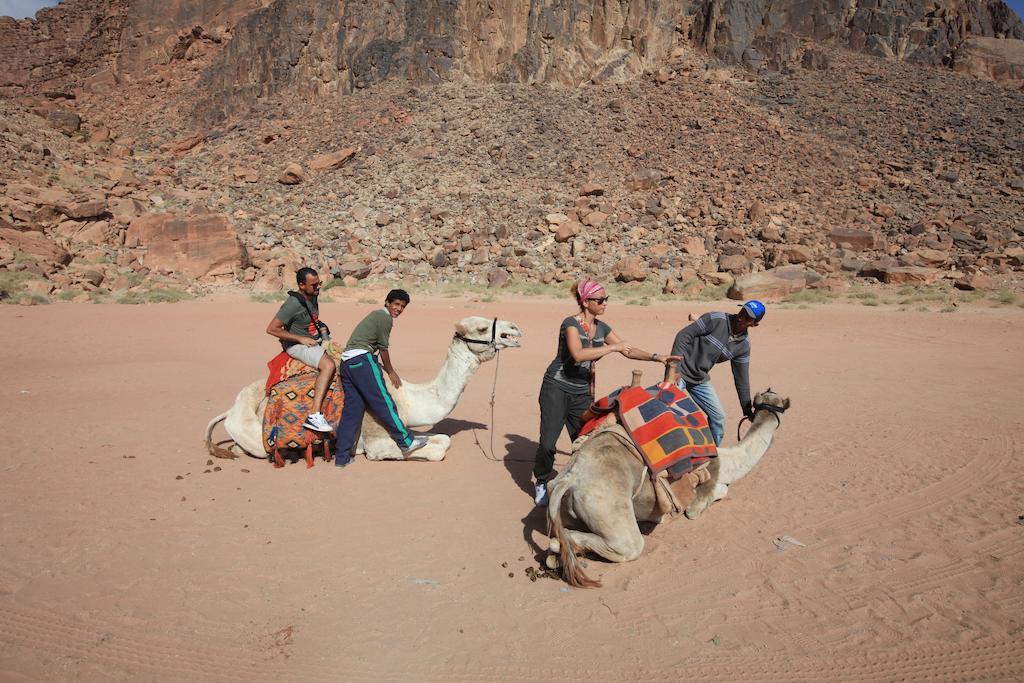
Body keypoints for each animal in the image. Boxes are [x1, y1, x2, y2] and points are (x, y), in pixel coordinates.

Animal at [202, 317, 520, 462]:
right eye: (481, 328)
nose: (515, 330)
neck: (405, 399)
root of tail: (231, 410)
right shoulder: (376, 440)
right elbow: (437, 451)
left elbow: (443, 439)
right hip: (253, 433)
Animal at [544, 385, 790, 589]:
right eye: (777, 404)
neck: (727, 461)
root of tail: (571, 478)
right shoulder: (697, 501)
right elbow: (719, 492)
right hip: (605, 505)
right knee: (626, 546)